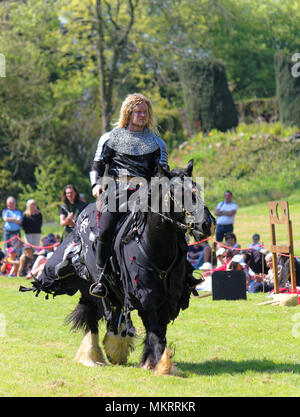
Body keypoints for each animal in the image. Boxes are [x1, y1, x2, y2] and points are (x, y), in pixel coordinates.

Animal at [19, 160, 214, 374]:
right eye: (177, 192)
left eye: (197, 189)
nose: (207, 224)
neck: (154, 245)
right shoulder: (144, 293)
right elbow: (154, 329)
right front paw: (160, 365)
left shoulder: (167, 296)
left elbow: (159, 330)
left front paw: (154, 362)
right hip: (92, 288)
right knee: (94, 317)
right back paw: (94, 354)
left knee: (114, 313)